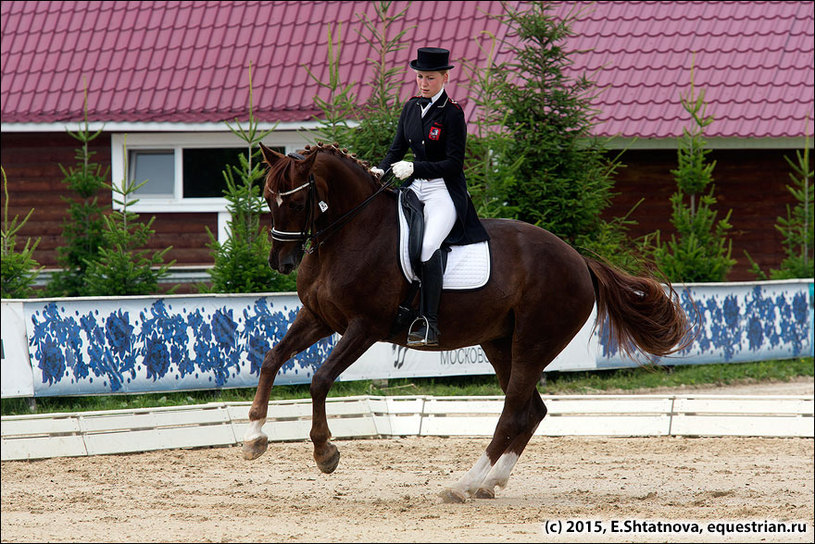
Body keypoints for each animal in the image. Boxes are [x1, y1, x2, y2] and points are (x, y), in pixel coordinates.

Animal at [242, 141, 688, 502]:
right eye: (267, 198)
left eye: (296, 203)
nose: (280, 262)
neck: (350, 232)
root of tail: (579, 260)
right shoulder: (318, 317)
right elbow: (271, 359)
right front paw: (254, 437)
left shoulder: (364, 327)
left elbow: (320, 379)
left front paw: (325, 452)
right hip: (500, 343)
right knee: (531, 411)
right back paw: (490, 483)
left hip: (533, 343)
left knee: (513, 413)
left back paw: (464, 485)